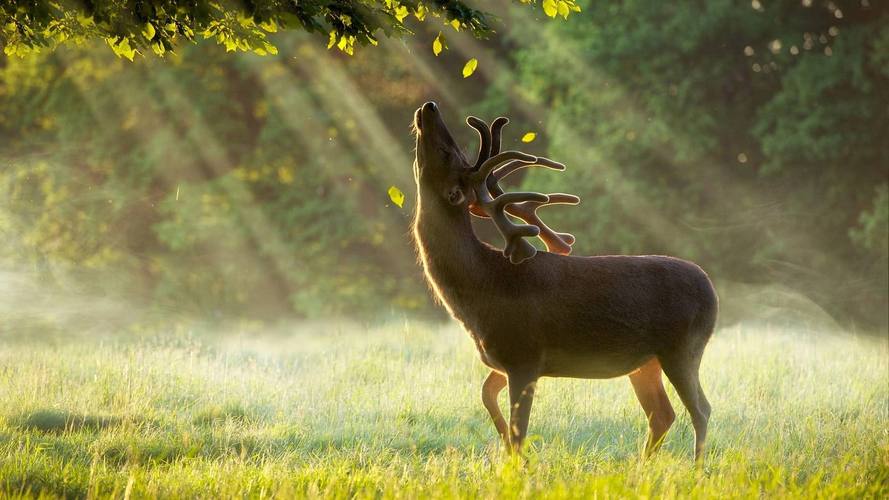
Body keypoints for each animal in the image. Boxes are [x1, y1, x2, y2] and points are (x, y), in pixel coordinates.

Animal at [412, 100, 720, 460]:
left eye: (447, 153)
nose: (429, 107)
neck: (481, 289)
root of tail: (711, 290)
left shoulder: (524, 354)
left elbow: (519, 430)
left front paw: (517, 462)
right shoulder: (505, 359)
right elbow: (486, 396)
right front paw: (504, 447)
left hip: (683, 347)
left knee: (700, 409)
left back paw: (696, 467)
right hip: (646, 362)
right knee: (662, 413)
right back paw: (642, 466)